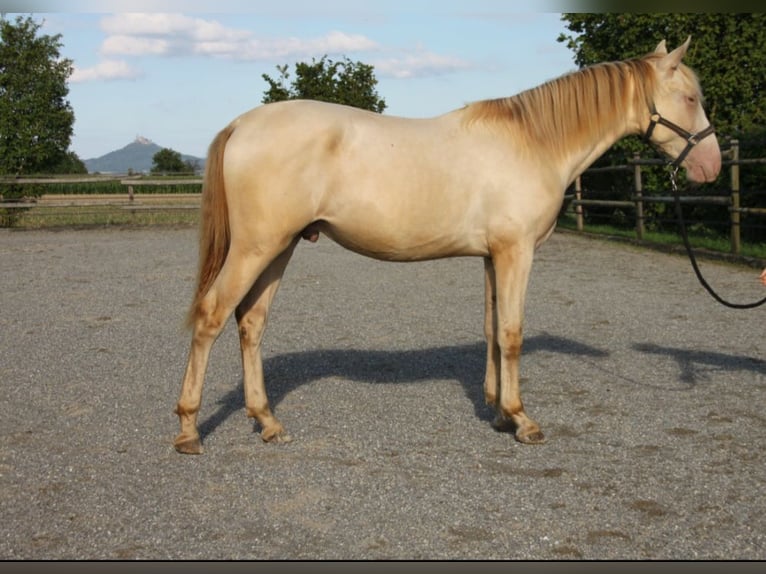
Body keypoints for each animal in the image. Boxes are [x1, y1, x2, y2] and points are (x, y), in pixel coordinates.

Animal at [172, 38, 720, 456]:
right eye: (691, 98)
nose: (711, 165)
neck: (534, 143)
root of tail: (242, 124)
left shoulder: (493, 256)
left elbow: (492, 329)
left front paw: (498, 413)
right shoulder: (517, 252)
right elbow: (513, 333)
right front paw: (523, 421)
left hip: (279, 247)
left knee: (251, 324)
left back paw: (268, 423)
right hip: (256, 248)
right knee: (211, 317)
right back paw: (188, 430)